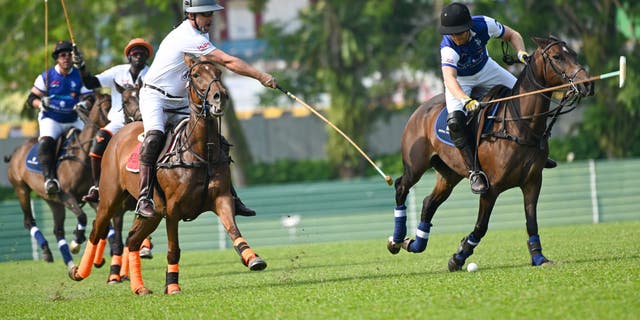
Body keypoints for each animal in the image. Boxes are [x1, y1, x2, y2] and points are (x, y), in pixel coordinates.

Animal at [5, 93, 110, 270]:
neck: (81, 155)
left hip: (52, 201)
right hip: (21, 190)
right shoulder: (67, 196)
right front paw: (76, 241)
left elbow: (102, 222)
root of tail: (15, 152)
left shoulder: (90, 197)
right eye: (106, 107)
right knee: (29, 221)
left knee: (58, 230)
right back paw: (47, 252)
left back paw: (69, 264)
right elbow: (82, 217)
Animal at [70, 55, 268, 296]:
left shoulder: (221, 198)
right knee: (97, 230)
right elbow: (174, 249)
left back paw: (139, 287)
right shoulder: (173, 210)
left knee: (132, 240)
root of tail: (118, 135)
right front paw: (172, 285)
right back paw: (79, 272)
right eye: (195, 75)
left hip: (153, 213)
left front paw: (252, 258)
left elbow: (233, 229)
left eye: (218, 73)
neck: (200, 152)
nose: (219, 97)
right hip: (110, 199)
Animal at [388, 35, 592, 270]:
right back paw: (396, 240)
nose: (588, 83)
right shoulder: (490, 189)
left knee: (429, 202)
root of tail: (419, 109)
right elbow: (481, 227)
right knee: (401, 186)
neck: (519, 125)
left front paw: (539, 258)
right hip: (416, 165)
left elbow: (531, 222)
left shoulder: (533, 182)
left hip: (449, 173)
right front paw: (458, 256)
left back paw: (414, 243)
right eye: (557, 56)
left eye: (574, 54)